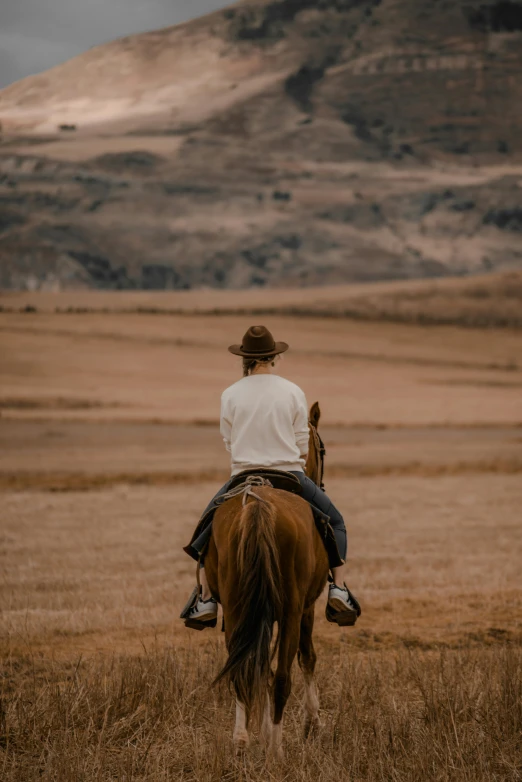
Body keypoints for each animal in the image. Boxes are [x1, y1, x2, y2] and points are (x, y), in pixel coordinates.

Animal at [205, 404, 328, 760]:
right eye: (323, 448)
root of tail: (258, 503)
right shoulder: (305, 609)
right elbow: (306, 658)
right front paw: (312, 724)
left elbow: (260, 668)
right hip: (290, 613)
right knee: (283, 676)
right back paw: (276, 750)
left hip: (235, 610)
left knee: (243, 668)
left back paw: (241, 740)